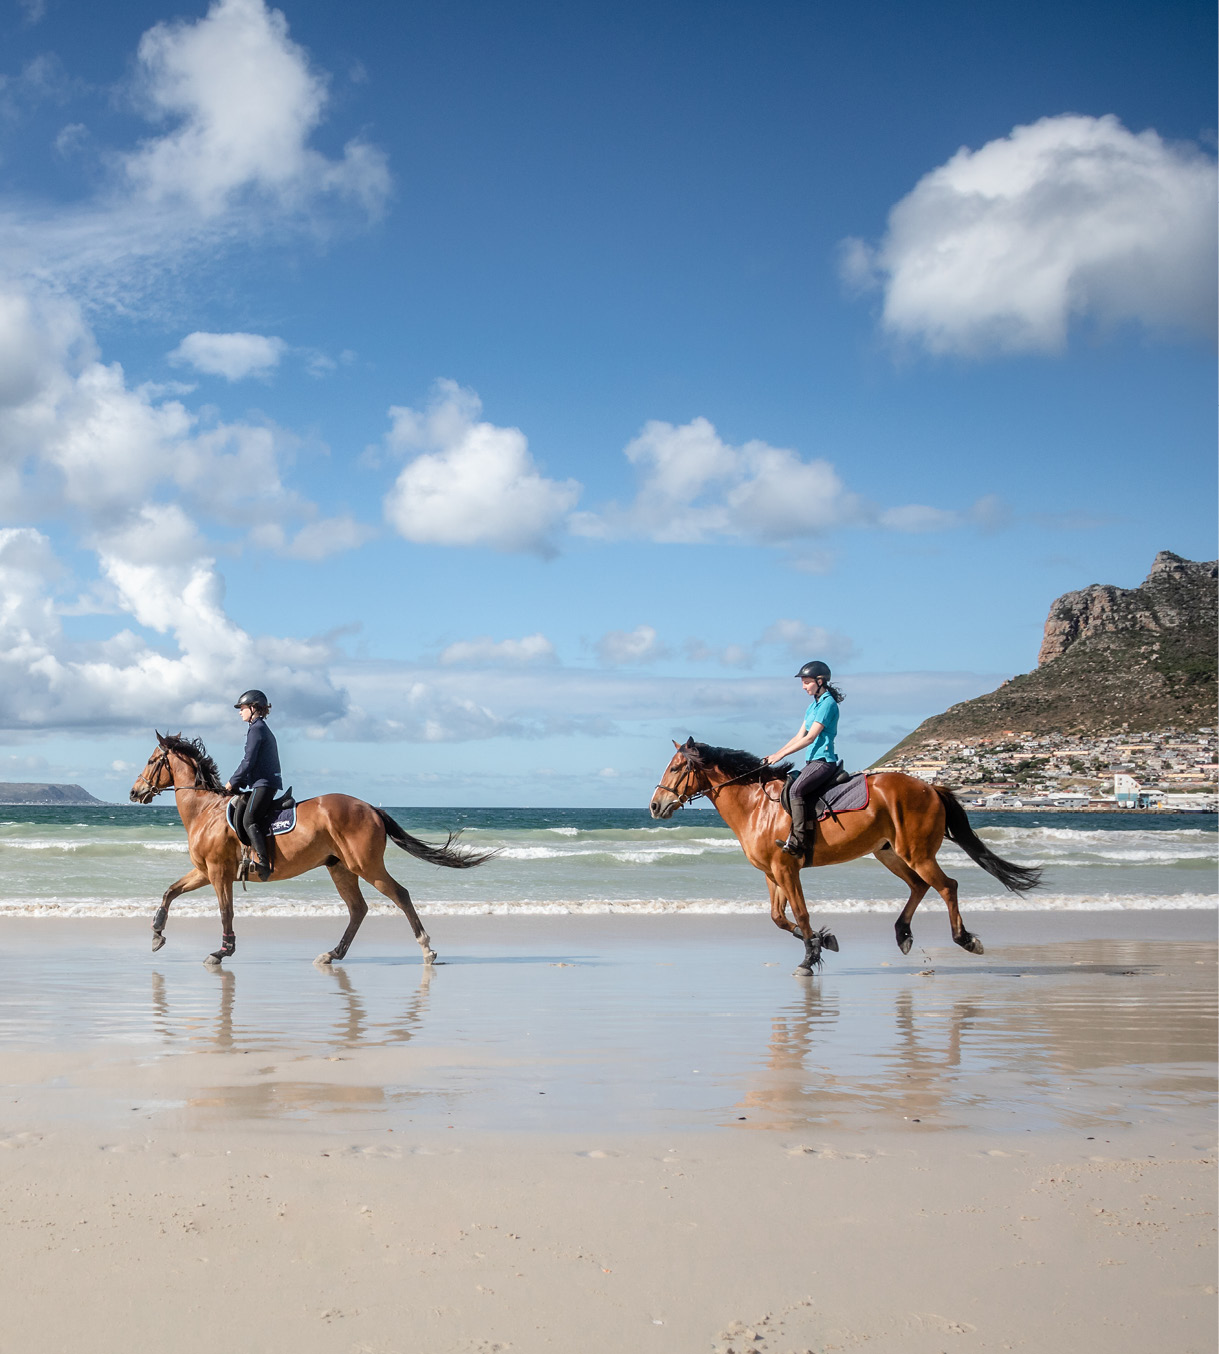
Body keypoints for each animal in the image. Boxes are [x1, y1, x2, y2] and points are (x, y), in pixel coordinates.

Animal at [130, 736, 493, 969]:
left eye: (150, 761)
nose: (134, 792)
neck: (206, 810)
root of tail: (372, 808)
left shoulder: (219, 873)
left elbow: (225, 912)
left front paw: (222, 952)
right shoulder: (206, 871)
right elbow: (170, 891)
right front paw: (157, 934)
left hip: (366, 865)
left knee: (399, 895)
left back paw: (427, 949)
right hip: (340, 867)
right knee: (358, 909)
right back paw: (332, 954)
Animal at [647, 741, 1040, 974]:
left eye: (676, 768)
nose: (654, 806)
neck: (757, 806)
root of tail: (930, 786)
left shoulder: (786, 868)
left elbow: (800, 913)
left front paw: (810, 957)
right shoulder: (771, 873)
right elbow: (778, 918)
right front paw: (824, 941)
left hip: (916, 852)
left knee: (947, 886)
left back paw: (965, 940)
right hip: (889, 852)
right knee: (919, 886)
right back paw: (903, 934)